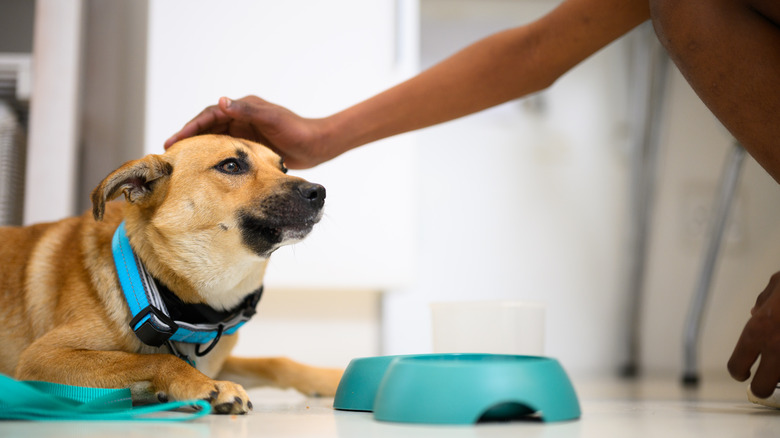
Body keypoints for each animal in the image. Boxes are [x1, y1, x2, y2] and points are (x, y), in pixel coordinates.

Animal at [0, 135, 344, 416]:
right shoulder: (42, 357)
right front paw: (208, 387)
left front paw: (332, 377)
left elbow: (276, 361)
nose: (319, 192)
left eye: (283, 168)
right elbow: (159, 359)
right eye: (231, 166)